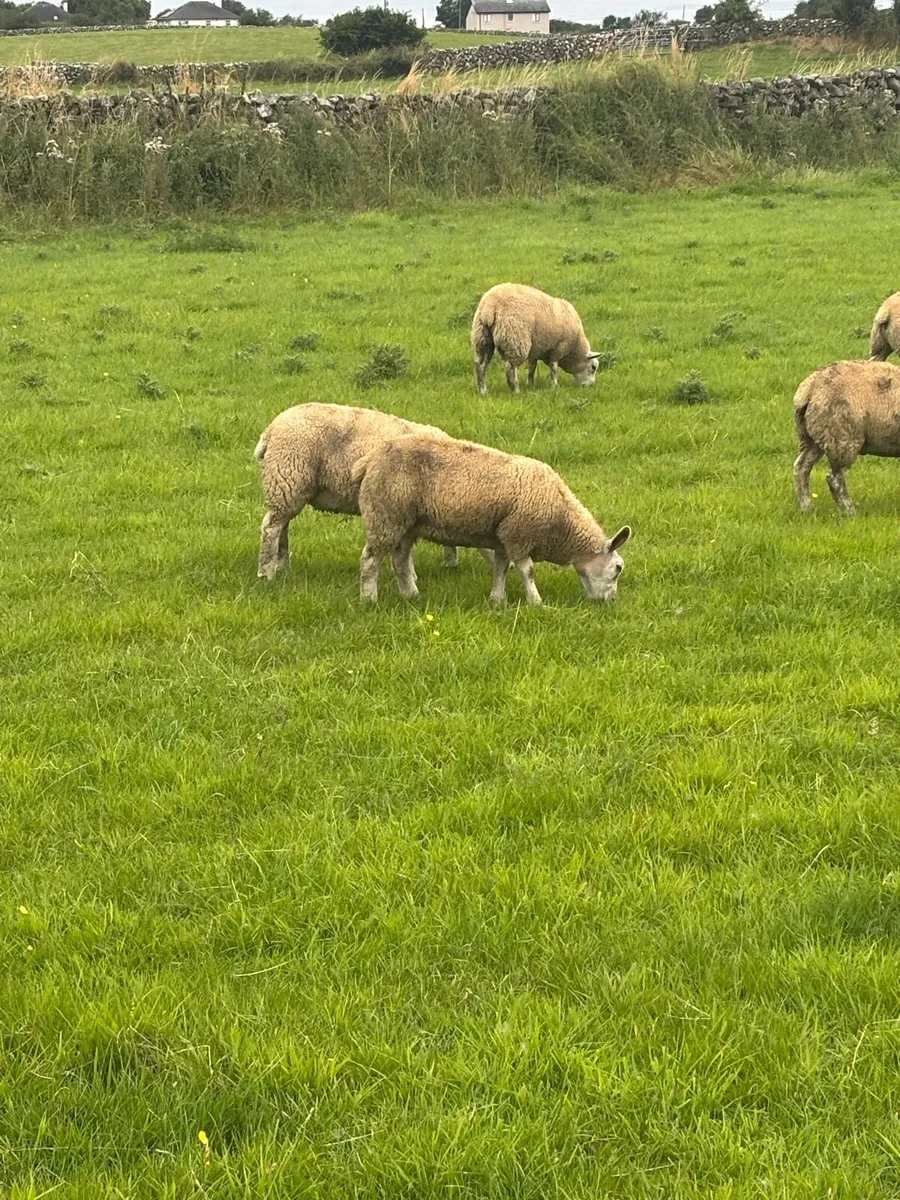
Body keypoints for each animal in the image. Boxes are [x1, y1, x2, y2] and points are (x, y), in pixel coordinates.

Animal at [255, 402, 463, 580]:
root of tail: (270, 430)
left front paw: (450, 562)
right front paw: (449, 562)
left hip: (287, 487)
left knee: (282, 526)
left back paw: (282, 566)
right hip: (288, 479)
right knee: (271, 528)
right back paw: (266, 572)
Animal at [354, 432, 631, 606]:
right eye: (618, 568)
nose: (612, 601)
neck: (562, 522)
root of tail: (371, 459)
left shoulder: (504, 536)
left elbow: (501, 568)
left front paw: (498, 600)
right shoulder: (519, 535)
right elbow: (528, 571)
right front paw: (536, 602)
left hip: (406, 524)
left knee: (400, 561)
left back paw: (411, 595)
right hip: (385, 515)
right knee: (370, 560)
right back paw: (369, 599)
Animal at [471, 283, 602, 395]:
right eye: (593, 367)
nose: (590, 386)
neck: (574, 348)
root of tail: (491, 307)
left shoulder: (535, 350)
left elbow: (532, 367)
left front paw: (530, 384)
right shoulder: (558, 348)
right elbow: (553, 369)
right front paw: (554, 386)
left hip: (482, 337)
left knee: (480, 365)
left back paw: (483, 391)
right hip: (516, 339)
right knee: (510, 368)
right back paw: (516, 391)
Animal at [793, 359, 900, 515]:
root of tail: (810, 387)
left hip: (813, 436)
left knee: (801, 468)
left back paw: (806, 508)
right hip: (842, 436)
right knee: (834, 478)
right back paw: (849, 511)